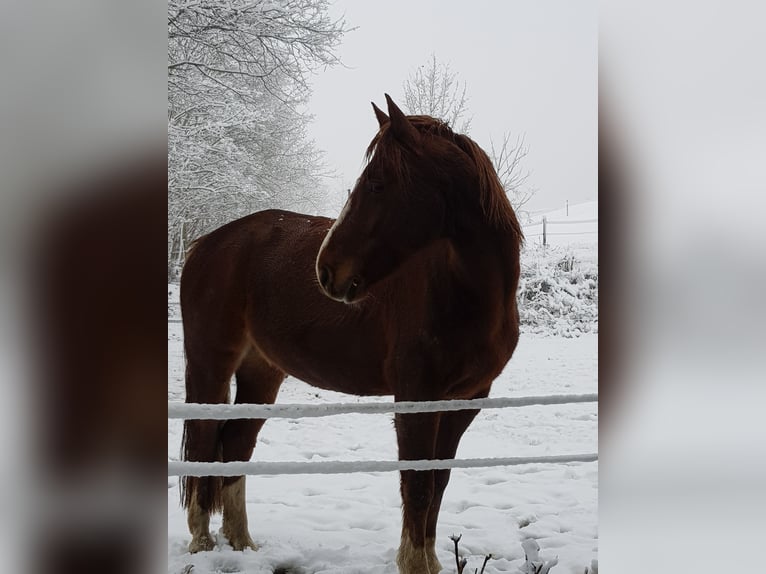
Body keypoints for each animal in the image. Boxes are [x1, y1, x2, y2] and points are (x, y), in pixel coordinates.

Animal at [182, 95, 520, 574]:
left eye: (377, 184)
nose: (326, 271)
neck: (461, 292)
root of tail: (206, 245)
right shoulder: (416, 399)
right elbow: (417, 486)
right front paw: (414, 564)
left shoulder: (464, 402)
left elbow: (437, 482)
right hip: (210, 365)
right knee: (201, 445)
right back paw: (201, 543)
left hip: (261, 373)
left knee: (236, 445)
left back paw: (242, 543)